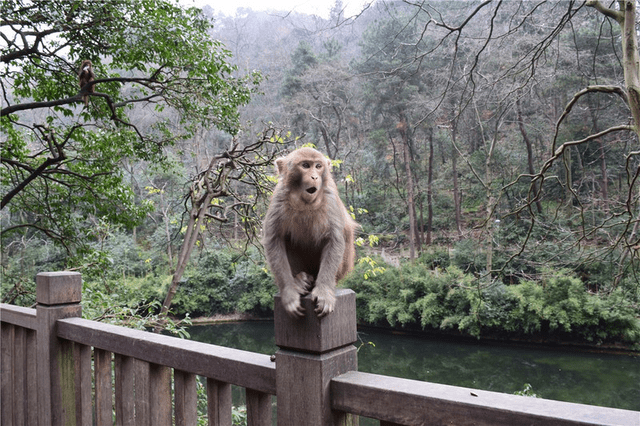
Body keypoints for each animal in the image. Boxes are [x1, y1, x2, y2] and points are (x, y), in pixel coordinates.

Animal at [262, 148, 360, 318]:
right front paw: (289, 293)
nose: (314, 176)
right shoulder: (279, 197)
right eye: (306, 165)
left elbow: (334, 239)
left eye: (318, 166)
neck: (305, 202)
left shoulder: (330, 197)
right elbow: (274, 239)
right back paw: (300, 280)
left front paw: (324, 293)